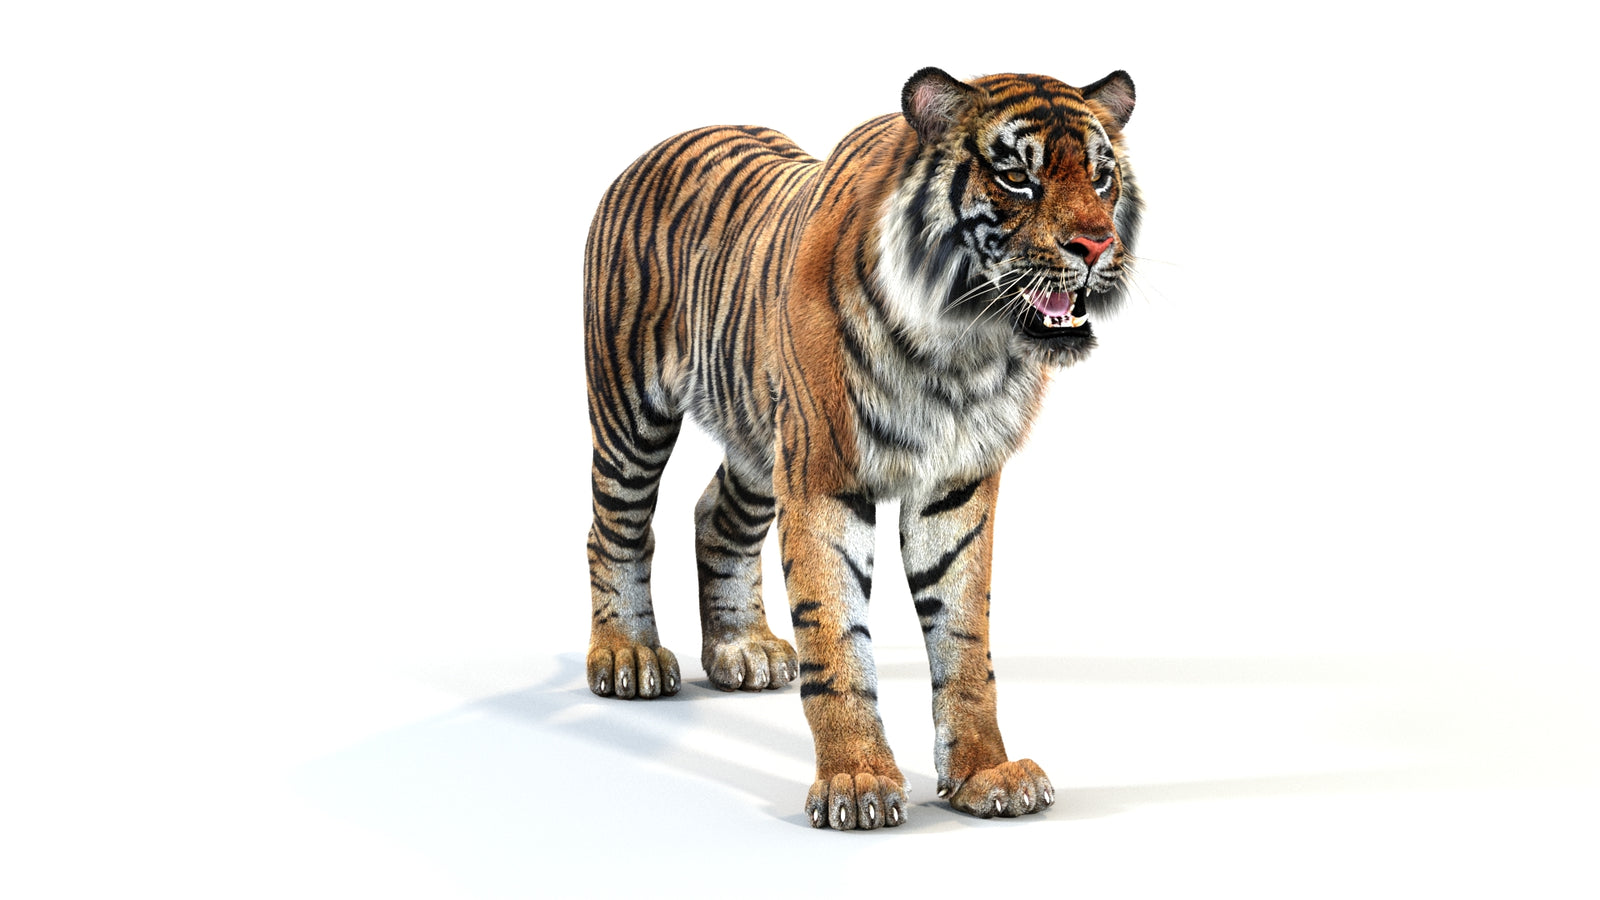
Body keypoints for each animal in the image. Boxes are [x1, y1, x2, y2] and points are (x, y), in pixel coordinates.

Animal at [582, 67, 1142, 830]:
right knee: (615, 528)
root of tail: (659, 145)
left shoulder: (955, 486)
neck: (963, 346)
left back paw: (741, 648)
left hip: (759, 441)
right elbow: (836, 635)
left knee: (713, 517)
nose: (1096, 246)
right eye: (1016, 178)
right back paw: (627, 657)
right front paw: (856, 781)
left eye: (1102, 176)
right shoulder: (821, 476)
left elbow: (964, 639)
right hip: (631, 411)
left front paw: (985, 773)